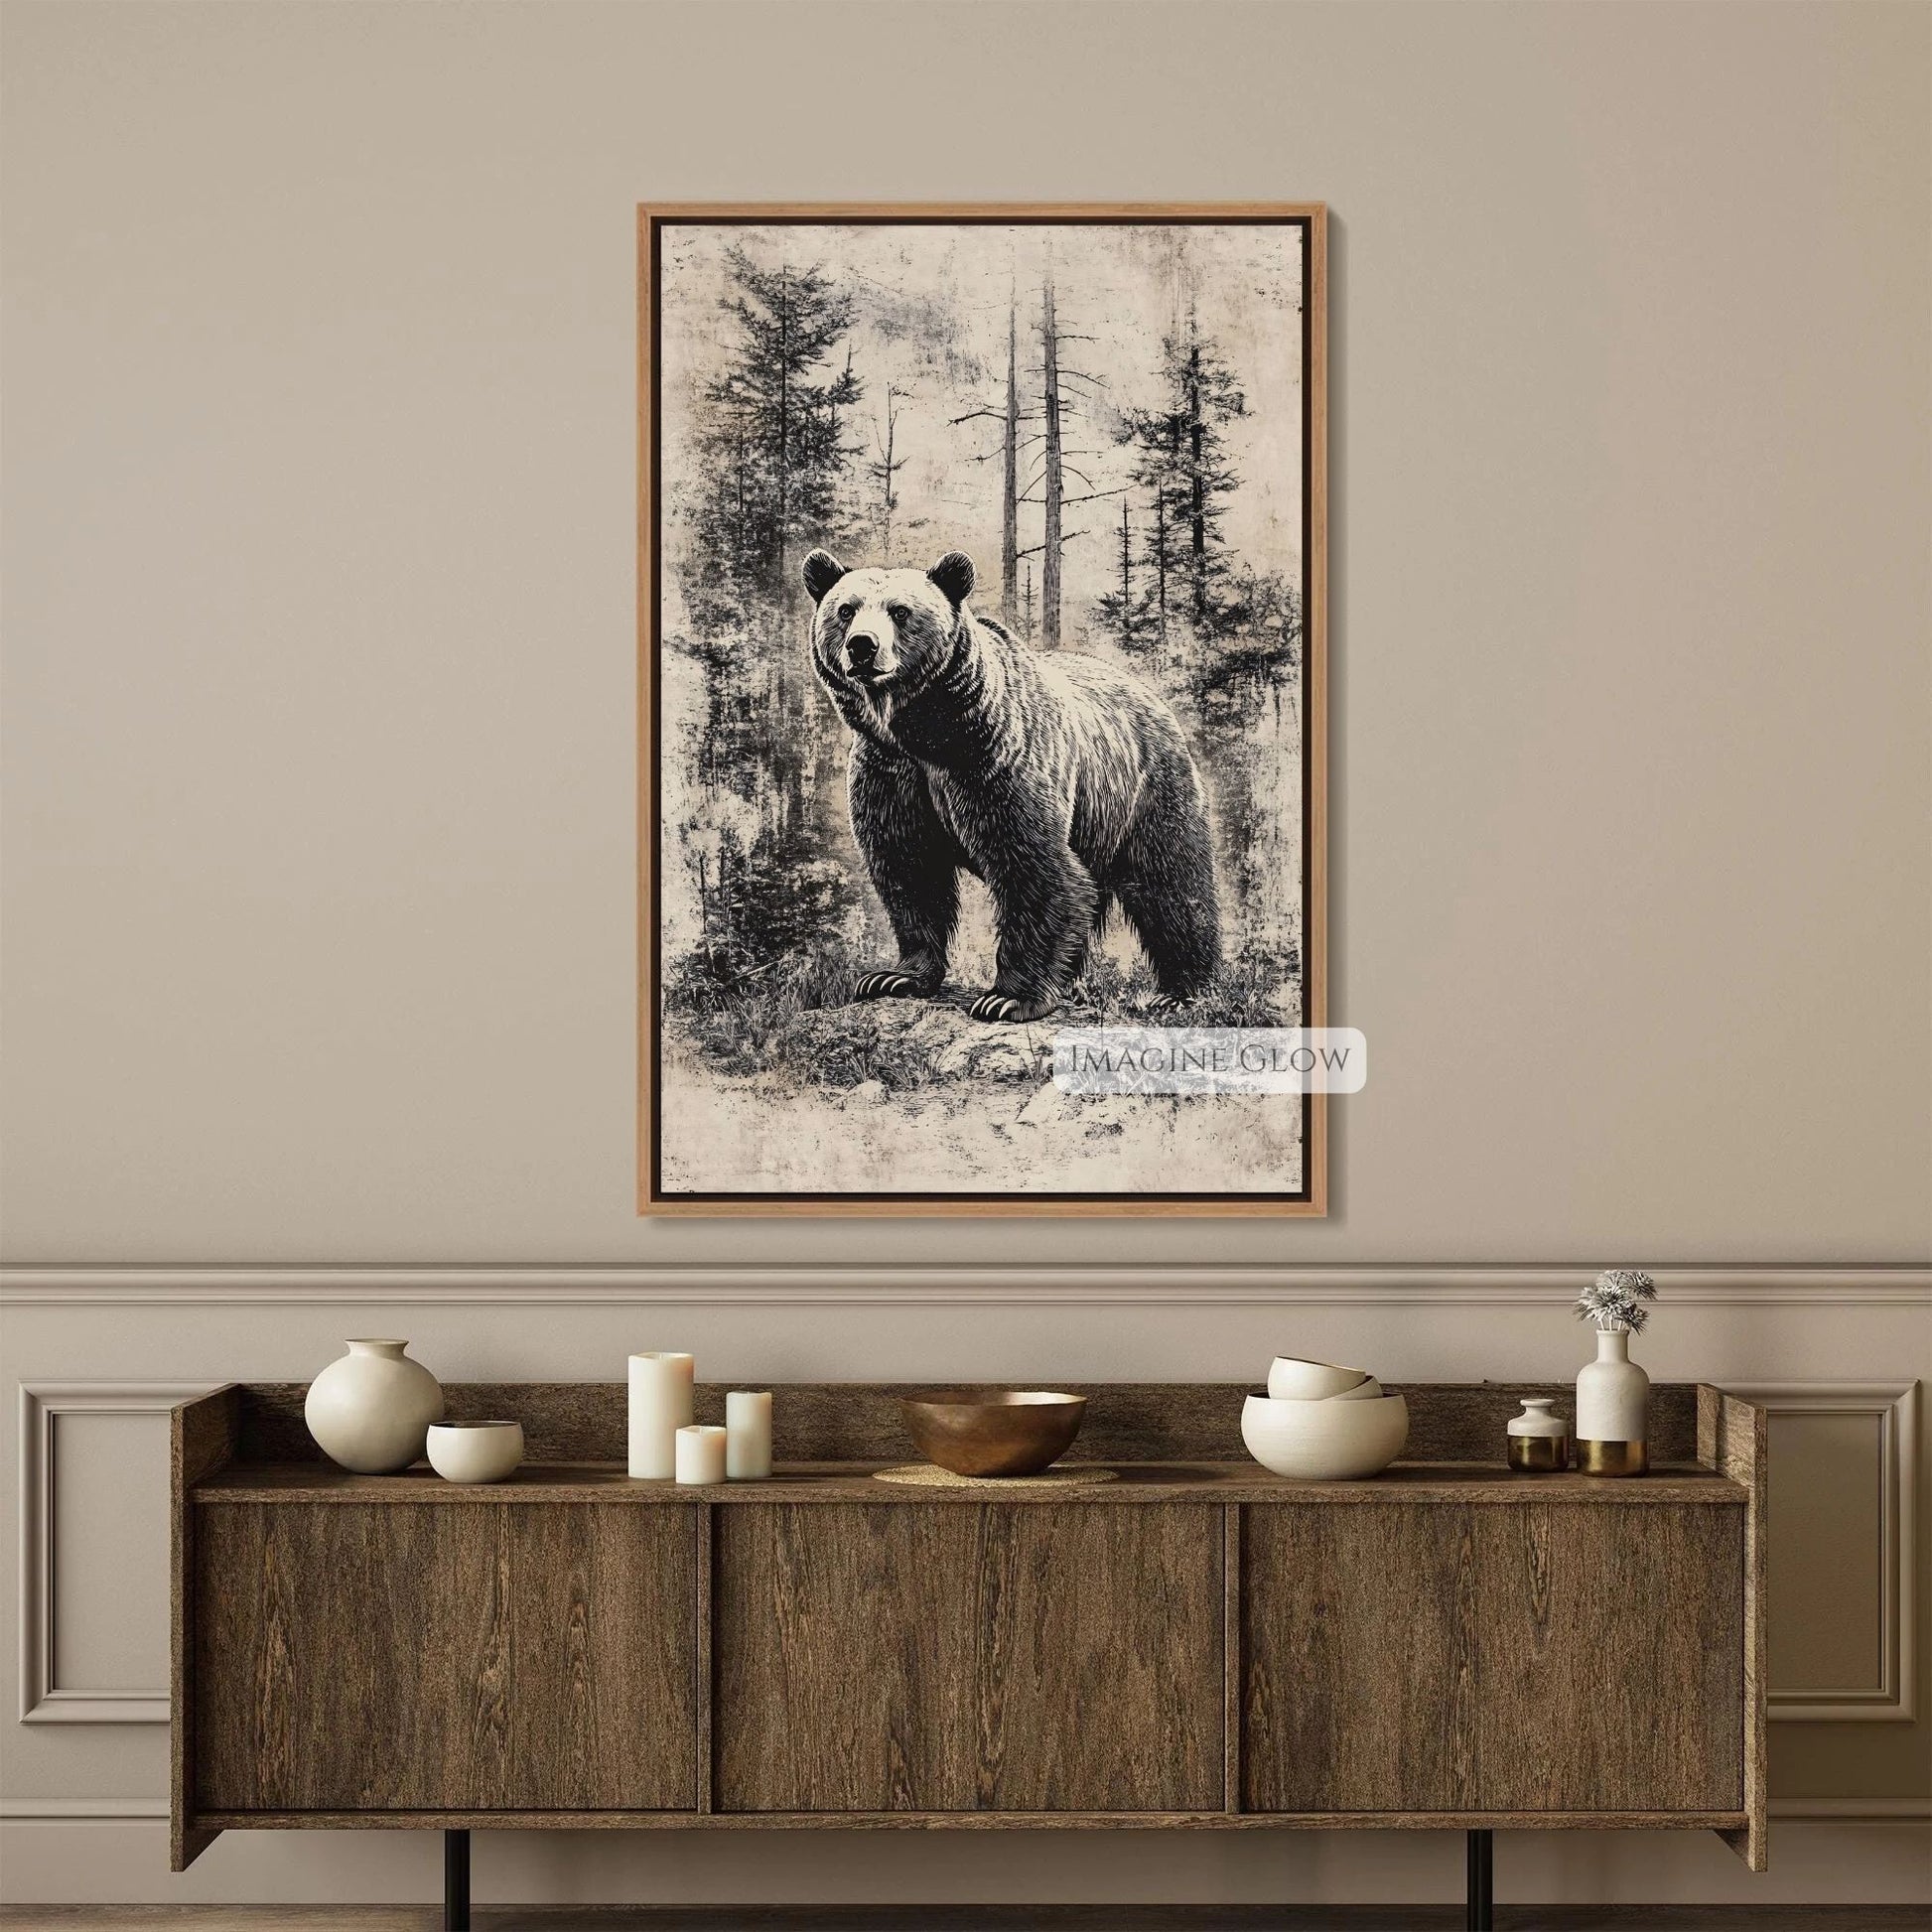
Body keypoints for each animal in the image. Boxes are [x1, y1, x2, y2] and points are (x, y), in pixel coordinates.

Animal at [804, 546, 1221, 1024]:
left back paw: (1181, 991)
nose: (862, 645)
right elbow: (909, 868)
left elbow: (1035, 869)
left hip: (1145, 788)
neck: (926, 730)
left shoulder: (994, 761)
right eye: (845, 609)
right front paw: (894, 976)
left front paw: (1008, 997)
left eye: (900, 611)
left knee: (1171, 884)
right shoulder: (891, 771)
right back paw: (1073, 983)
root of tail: (1150, 695)